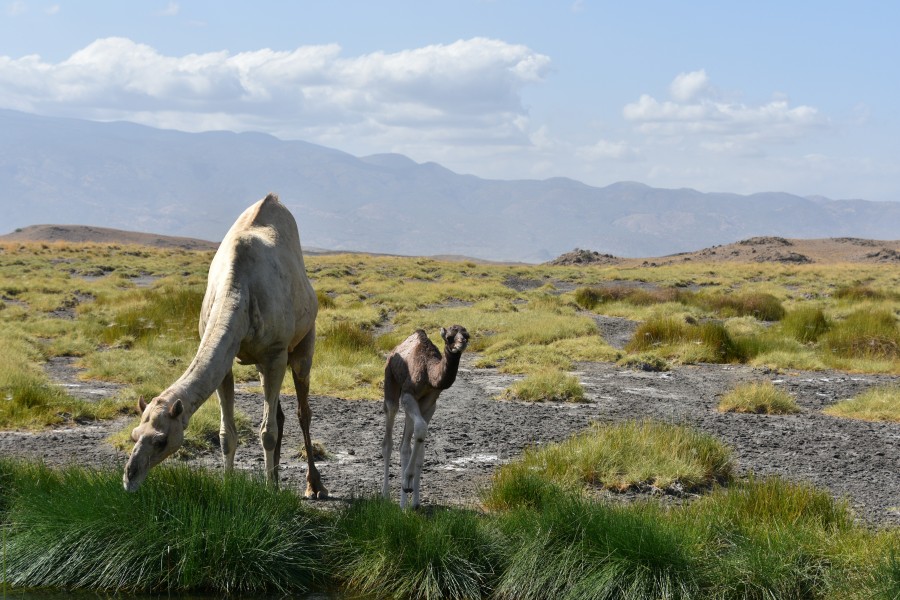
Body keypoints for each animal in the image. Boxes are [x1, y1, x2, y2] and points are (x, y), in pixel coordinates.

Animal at [123, 193, 327, 498]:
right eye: (135, 435)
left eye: (161, 440)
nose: (129, 478)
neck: (238, 291)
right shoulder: (229, 363)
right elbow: (226, 434)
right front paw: (231, 485)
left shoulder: (275, 354)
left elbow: (267, 432)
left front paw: (269, 491)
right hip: (261, 364)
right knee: (279, 413)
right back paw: (278, 478)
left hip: (303, 343)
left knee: (303, 411)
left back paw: (314, 486)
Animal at [382, 325, 469, 508]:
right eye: (450, 337)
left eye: (467, 335)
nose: (462, 343)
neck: (429, 373)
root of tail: (393, 352)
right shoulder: (408, 394)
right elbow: (421, 429)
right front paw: (407, 481)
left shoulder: (430, 403)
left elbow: (421, 447)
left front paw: (414, 501)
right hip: (391, 382)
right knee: (389, 439)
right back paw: (386, 495)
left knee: (405, 444)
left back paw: (405, 503)